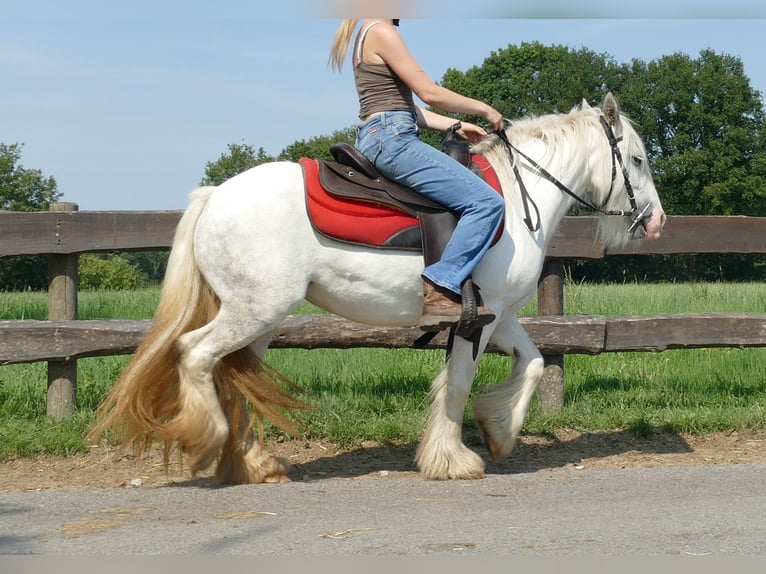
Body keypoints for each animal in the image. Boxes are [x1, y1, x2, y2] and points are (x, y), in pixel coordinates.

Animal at [90, 94, 664, 486]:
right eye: (637, 159)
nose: (656, 221)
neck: (519, 200)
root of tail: (215, 196)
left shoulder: (498, 317)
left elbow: (535, 362)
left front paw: (499, 431)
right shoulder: (478, 319)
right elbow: (459, 384)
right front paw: (453, 460)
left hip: (260, 318)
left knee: (231, 373)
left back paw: (254, 463)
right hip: (254, 311)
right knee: (194, 354)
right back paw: (207, 440)